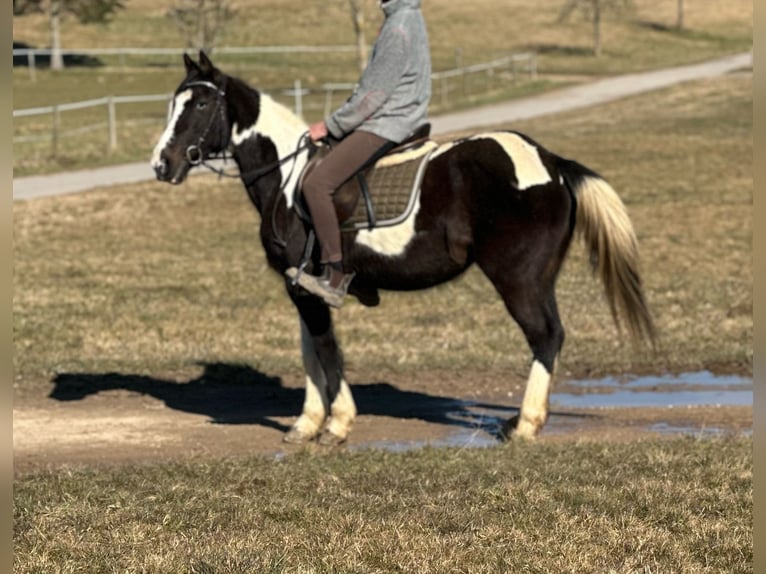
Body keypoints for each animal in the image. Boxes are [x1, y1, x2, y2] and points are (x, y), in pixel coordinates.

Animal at [153, 51, 656, 448]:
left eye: (200, 103)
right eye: (173, 103)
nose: (161, 163)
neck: (288, 179)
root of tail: (550, 161)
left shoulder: (310, 289)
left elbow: (327, 351)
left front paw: (337, 424)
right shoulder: (300, 287)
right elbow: (311, 352)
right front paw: (307, 422)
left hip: (518, 279)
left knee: (546, 336)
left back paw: (526, 425)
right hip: (537, 279)